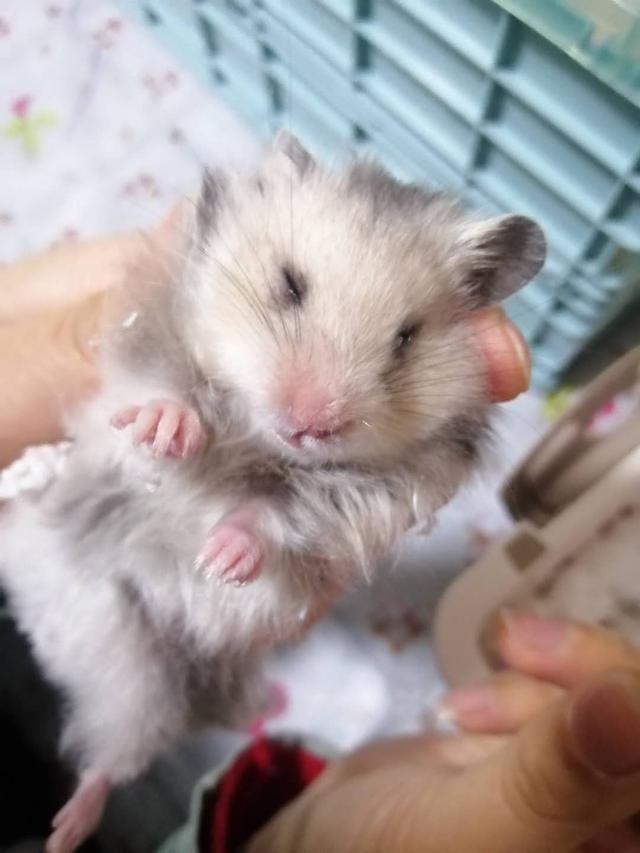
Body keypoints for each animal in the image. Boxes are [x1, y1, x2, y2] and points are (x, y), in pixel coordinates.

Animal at [0, 132, 545, 852]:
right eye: (289, 286)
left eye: (406, 338)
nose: (311, 423)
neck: (258, 439)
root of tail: (46, 630)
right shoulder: (137, 356)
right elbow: (161, 399)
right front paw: (169, 430)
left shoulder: (368, 500)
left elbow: (275, 515)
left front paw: (221, 561)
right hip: (115, 634)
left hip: (142, 677)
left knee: (115, 755)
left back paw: (65, 831)